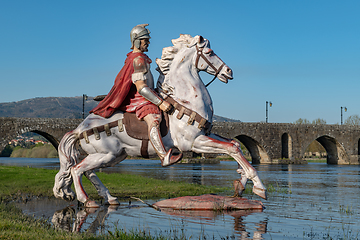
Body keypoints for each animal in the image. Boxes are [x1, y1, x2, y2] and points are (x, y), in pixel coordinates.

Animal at [54, 34, 268, 208]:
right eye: (210, 52)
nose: (229, 71)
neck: (186, 99)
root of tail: (80, 128)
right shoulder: (194, 143)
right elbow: (232, 148)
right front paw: (258, 186)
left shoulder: (205, 134)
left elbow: (234, 145)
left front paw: (241, 184)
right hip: (106, 154)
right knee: (76, 169)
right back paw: (86, 200)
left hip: (114, 156)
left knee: (87, 171)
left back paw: (109, 198)